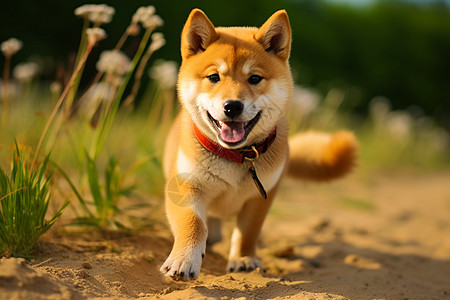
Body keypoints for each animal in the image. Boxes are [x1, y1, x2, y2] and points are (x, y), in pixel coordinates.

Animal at [160, 9, 356, 282]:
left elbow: (248, 232)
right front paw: (183, 261)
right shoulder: (185, 187)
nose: (232, 106)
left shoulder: (261, 196)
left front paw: (243, 259)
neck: (234, 156)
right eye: (213, 77)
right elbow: (194, 225)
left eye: (254, 78)